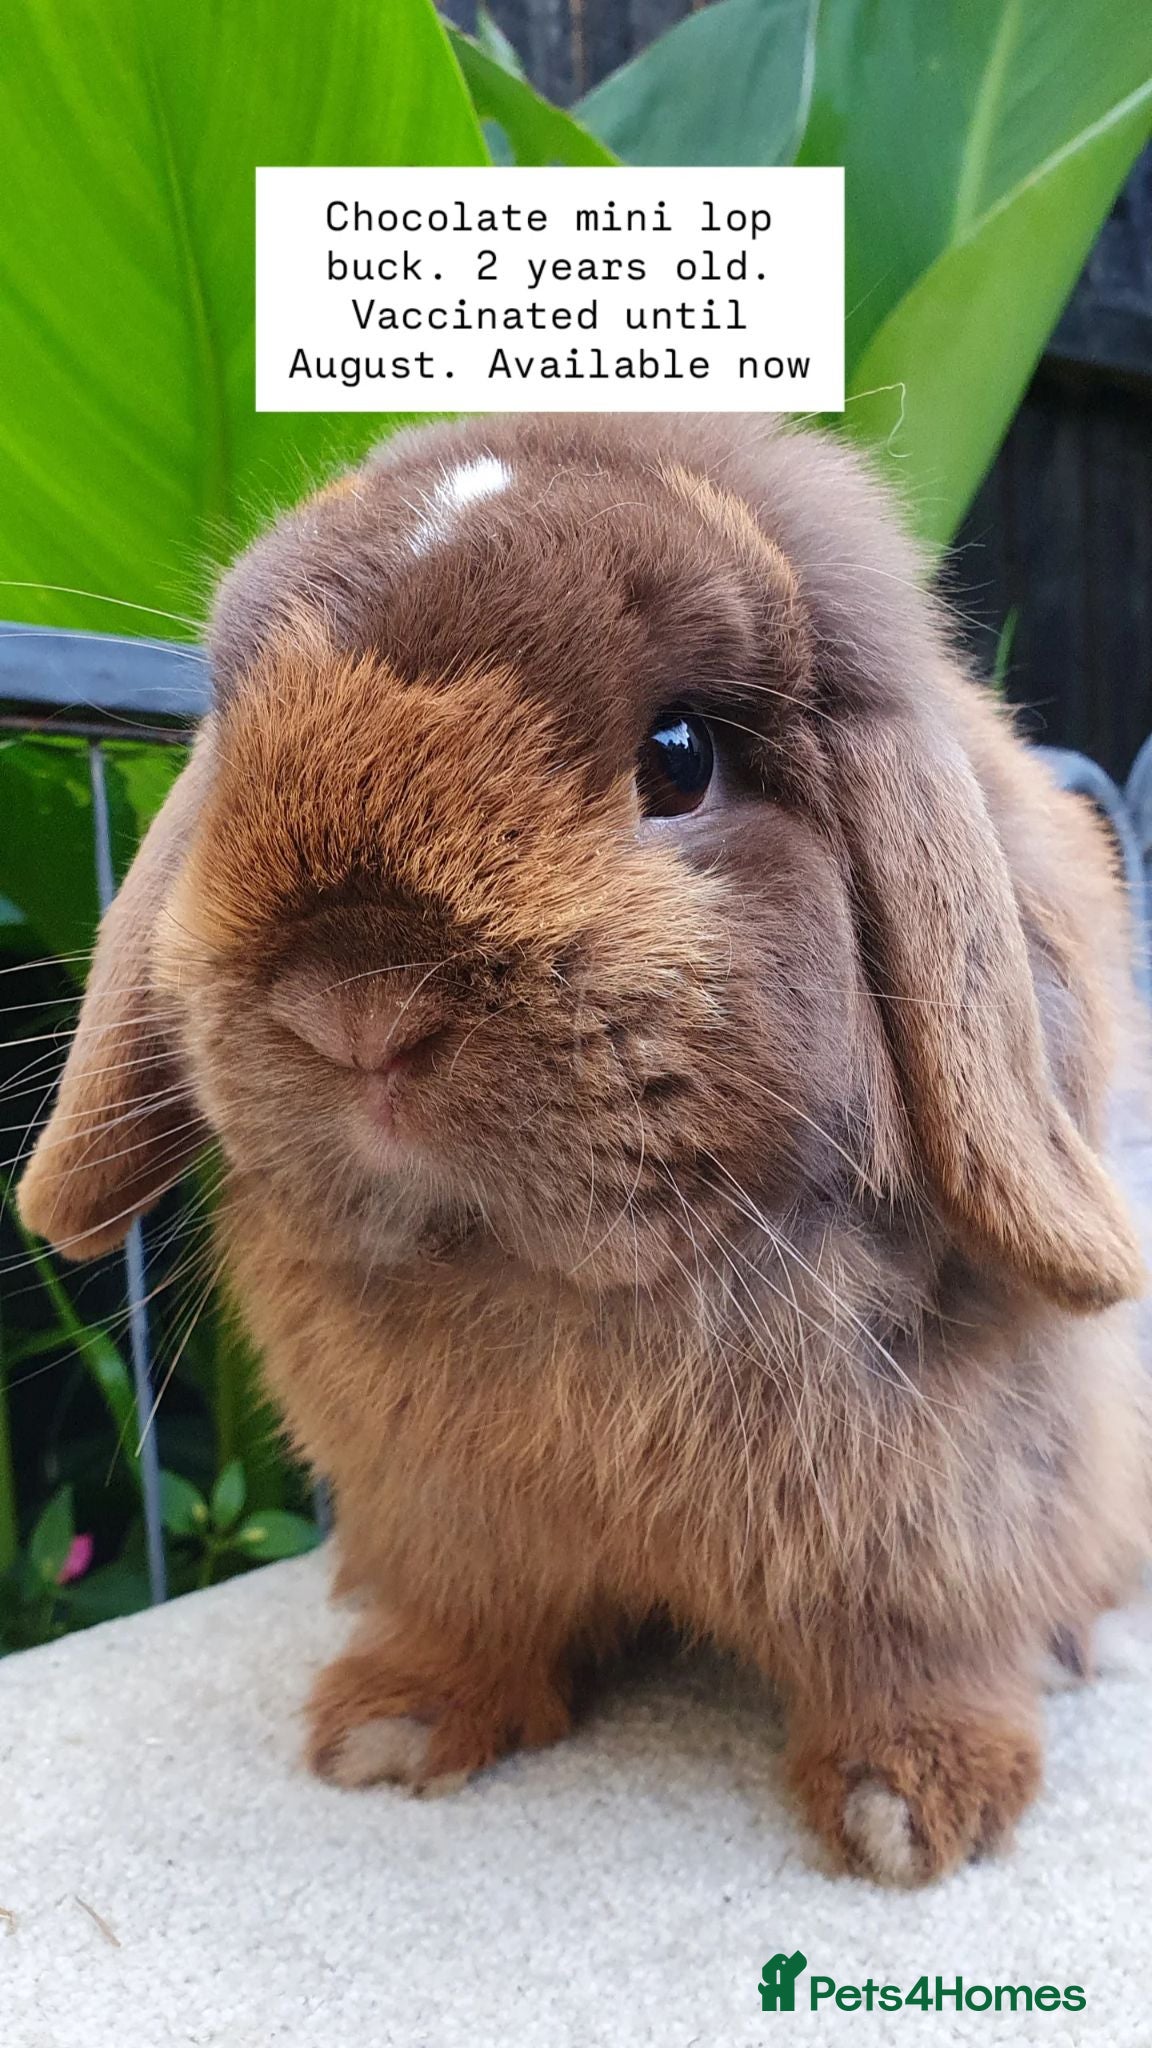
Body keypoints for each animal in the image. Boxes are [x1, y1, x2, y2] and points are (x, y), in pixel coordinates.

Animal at [18, 411, 1152, 1885]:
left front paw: (913, 1807)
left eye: (680, 754)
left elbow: (912, 1639)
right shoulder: (447, 1517)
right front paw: (391, 1731)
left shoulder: (945, 1502)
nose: (354, 1002)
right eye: (240, 742)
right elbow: (471, 1617)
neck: (550, 1285)